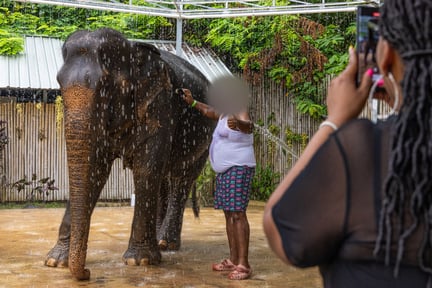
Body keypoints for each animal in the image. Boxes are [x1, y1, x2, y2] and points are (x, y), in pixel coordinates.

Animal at [43, 28, 215, 280]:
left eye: (106, 86)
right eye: (59, 83)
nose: (87, 272)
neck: (133, 49)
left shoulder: (160, 105)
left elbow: (146, 168)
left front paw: (140, 261)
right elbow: (96, 170)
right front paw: (54, 262)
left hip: (205, 138)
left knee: (180, 179)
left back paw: (167, 243)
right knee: (163, 180)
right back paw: (160, 242)